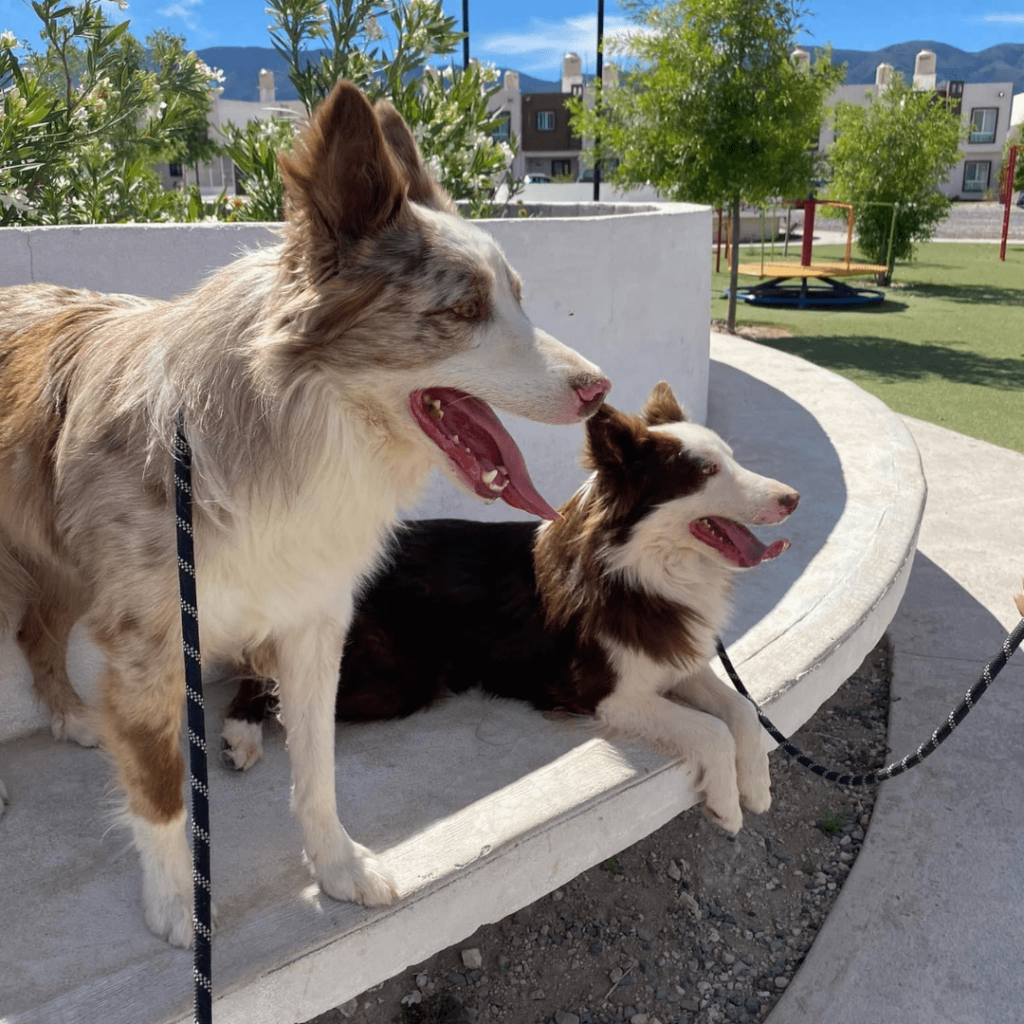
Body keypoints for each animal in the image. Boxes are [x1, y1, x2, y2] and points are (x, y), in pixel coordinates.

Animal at [0, 83, 606, 946]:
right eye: (464, 311)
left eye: (518, 299)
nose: (599, 390)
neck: (288, 426)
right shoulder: (149, 643)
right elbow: (163, 792)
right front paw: (178, 907)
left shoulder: (315, 623)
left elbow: (317, 767)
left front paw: (338, 866)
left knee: (34, 632)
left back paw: (74, 719)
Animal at [224, 385, 798, 831]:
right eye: (707, 471)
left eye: (731, 458)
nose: (792, 498)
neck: (638, 566)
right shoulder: (603, 693)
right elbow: (710, 729)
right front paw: (726, 803)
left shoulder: (671, 660)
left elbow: (742, 709)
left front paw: (757, 786)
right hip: (399, 678)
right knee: (267, 674)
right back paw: (240, 734)